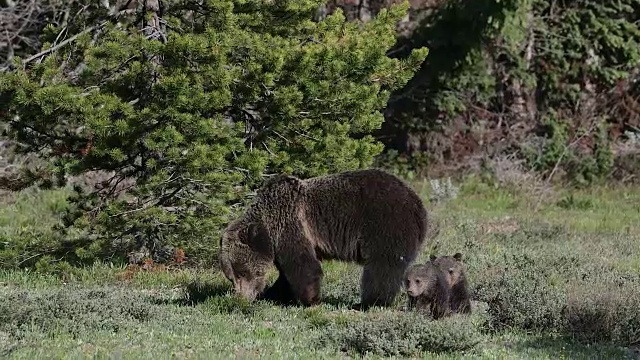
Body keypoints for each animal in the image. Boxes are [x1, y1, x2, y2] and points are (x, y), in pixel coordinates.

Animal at [218, 169, 432, 310]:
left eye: (241, 272)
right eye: (231, 276)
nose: (241, 298)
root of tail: (418, 205)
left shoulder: (292, 224)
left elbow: (303, 266)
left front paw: (310, 300)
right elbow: (286, 275)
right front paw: (274, 294)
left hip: (386, 225)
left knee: (382, 267)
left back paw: (369, 302)